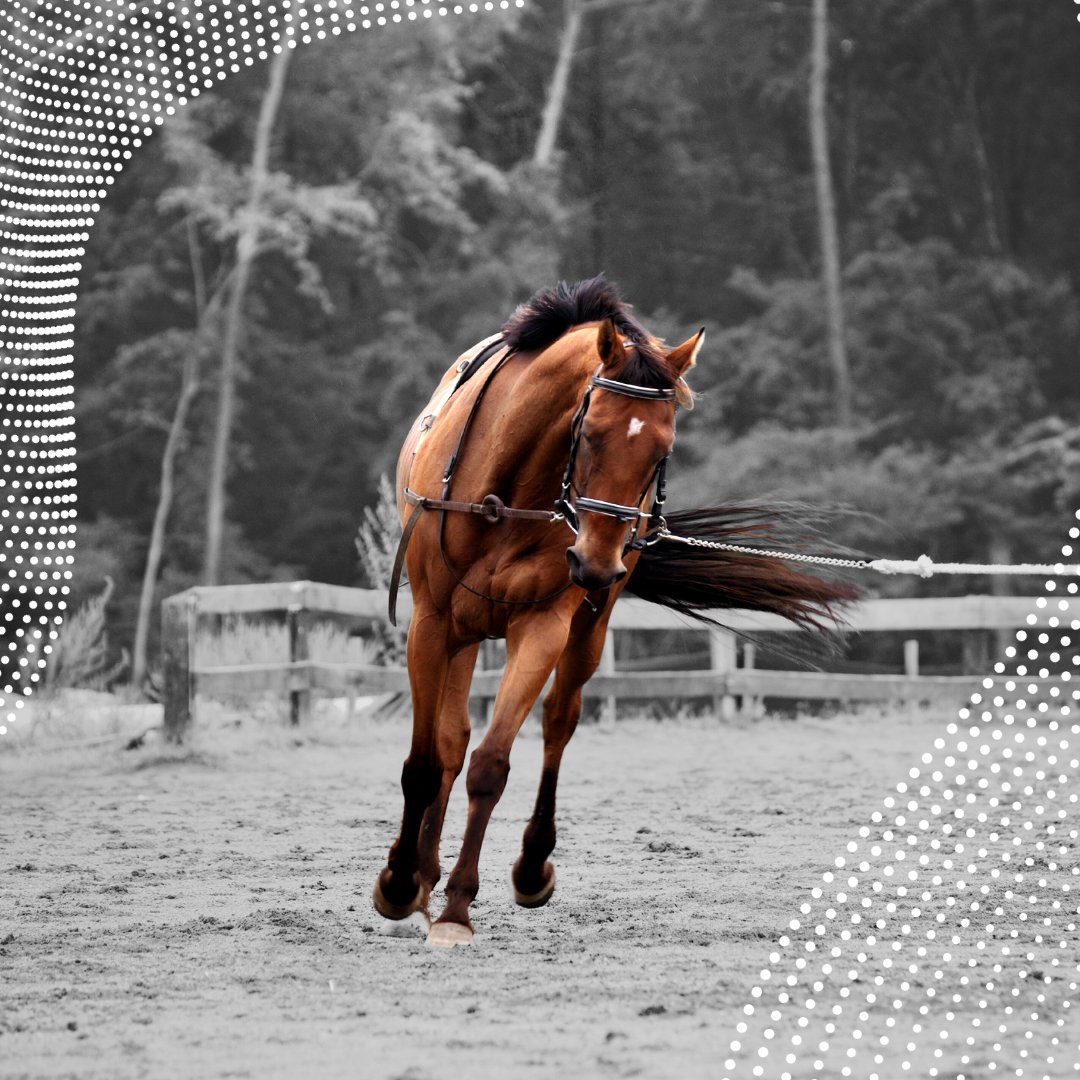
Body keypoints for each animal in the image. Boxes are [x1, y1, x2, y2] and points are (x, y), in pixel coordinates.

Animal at [372, 276, 854, 947]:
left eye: (662, 451)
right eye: (591, 431)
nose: (598, 563)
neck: (503, 492)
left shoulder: (543, 625)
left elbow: (491, 764)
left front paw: (457, 909)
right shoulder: (432, 622)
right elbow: (424, 762)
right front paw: (399, 884)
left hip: (585, 626)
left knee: (556, 722)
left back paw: (522, 867)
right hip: (462, 632)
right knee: (448, 739)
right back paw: (419, 875)